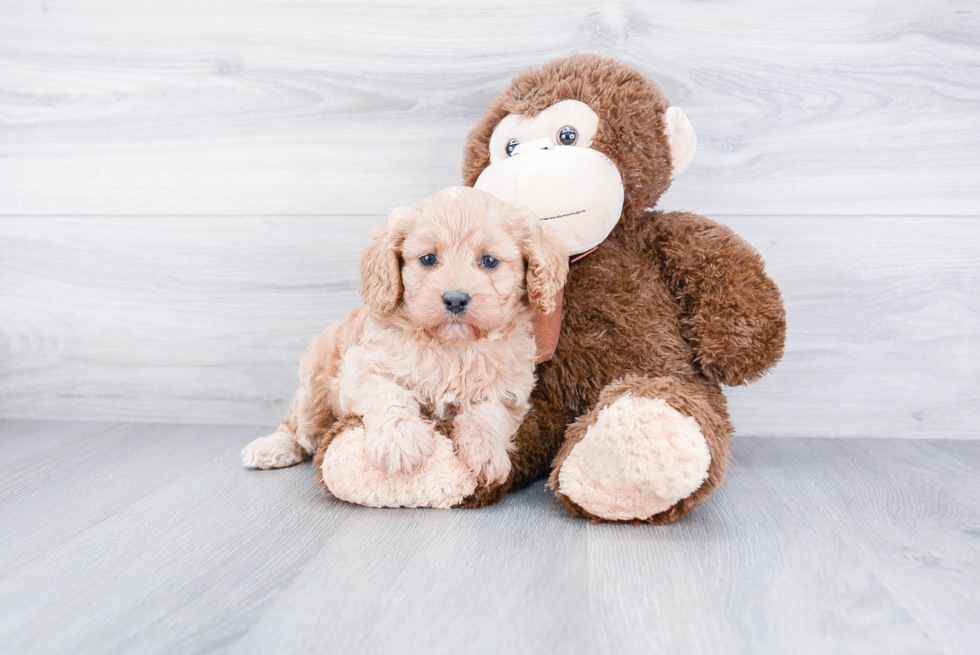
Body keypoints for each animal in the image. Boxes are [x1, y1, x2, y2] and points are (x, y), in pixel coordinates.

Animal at [240, 187, 572, 484]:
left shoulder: (509, 394)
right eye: (428, 259)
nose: (455, 299)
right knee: (298, 428)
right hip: (313, 392)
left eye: (489, 261)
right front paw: (399, 443)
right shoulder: (362, 368)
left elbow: (489, 415)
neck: (453, 347)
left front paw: (486, 454)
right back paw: (271, 448)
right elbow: (390, 395)